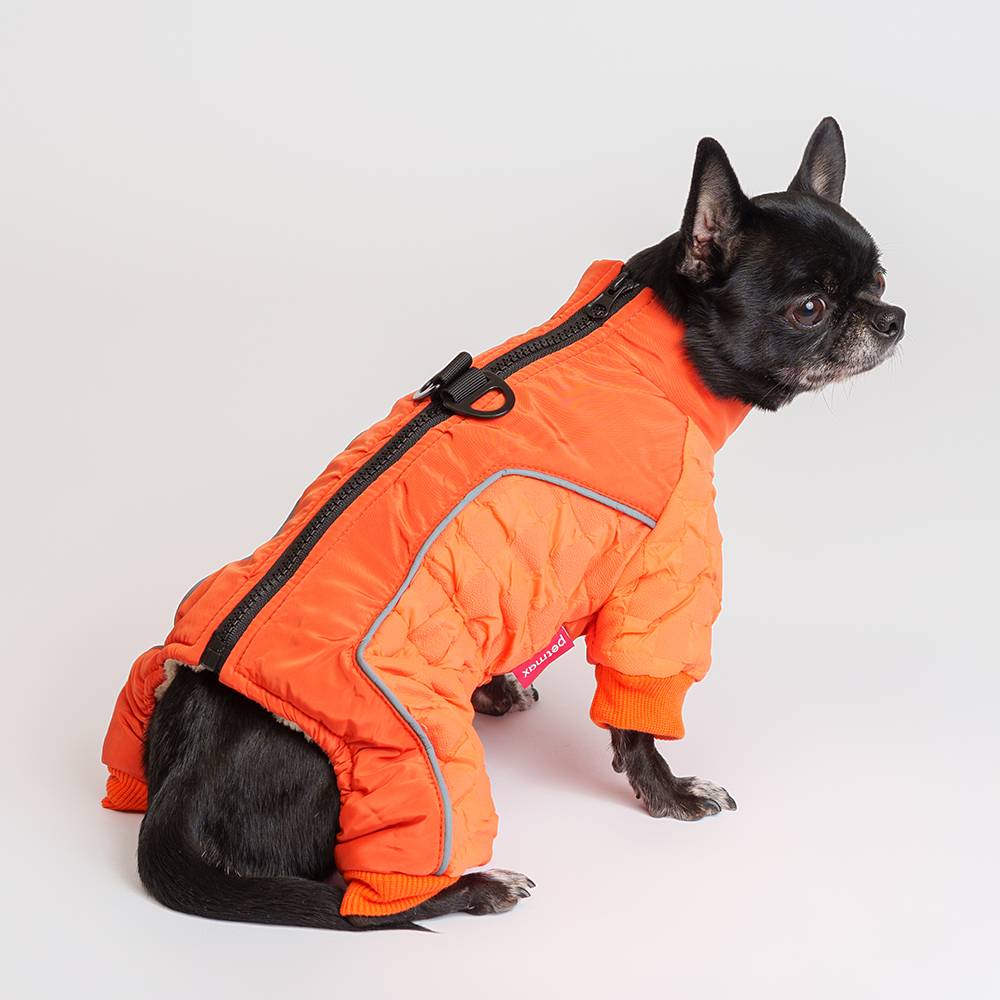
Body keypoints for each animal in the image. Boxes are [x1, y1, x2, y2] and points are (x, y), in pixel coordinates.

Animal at [125, 117, 904, 929]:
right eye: (811, 308)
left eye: (880, 280)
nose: (893, 318)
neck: (654, 340)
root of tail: (183, 779)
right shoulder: (659, 584)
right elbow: (638, 716)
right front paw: (670, 794)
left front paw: (497, 685)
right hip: (419, 775)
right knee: (366, 901)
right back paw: (475, 885)